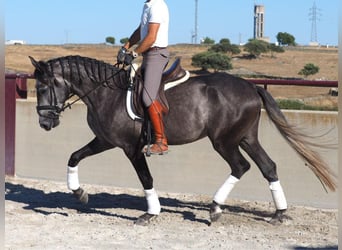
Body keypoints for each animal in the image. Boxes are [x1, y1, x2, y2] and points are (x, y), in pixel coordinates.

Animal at [29, 55, 336, 226]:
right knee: (268, 167)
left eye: (43, 87)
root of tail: (250, 86)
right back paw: (279, 212)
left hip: (224, 141)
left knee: (241, 167)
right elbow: (73, 156)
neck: (106, 92)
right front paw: (79, 193)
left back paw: (215, 208)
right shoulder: (105, 140)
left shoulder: (131, 148)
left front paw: (150, 214)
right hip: (246, 137)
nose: (44, 123)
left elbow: (146, 179)